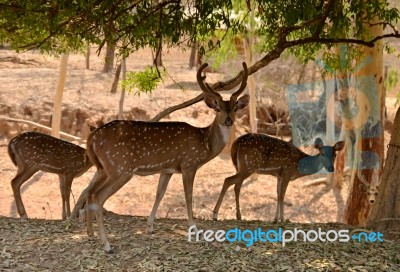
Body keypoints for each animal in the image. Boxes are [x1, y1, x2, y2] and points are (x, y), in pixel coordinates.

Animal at [83, 62, 250, 253]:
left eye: (235, 108)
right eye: (218, 108)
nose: (228, 121)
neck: (205, 144)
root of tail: (92, 138)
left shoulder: (167, 169)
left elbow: (159, 194)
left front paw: (149, 226)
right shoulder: (189, 164)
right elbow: (188, 196)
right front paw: (194, 228)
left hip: (102, 168)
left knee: (89, 191)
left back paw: (90, 233)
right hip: (120, 168)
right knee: (98, 195)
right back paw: (107, 244)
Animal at [212, 134, 344, 221]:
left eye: (335, 154)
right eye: (322, 153)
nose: (331, 168)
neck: (299, 166)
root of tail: (235, 143)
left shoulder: (279, 176)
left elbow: (278, 194)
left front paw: (275, 218)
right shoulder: (287, 173)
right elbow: (282, 196)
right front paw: (282, 219)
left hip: (241, 167)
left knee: (236, 185)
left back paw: (238, 216)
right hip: (248, 166)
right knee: (228, 180)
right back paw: (215, 214)